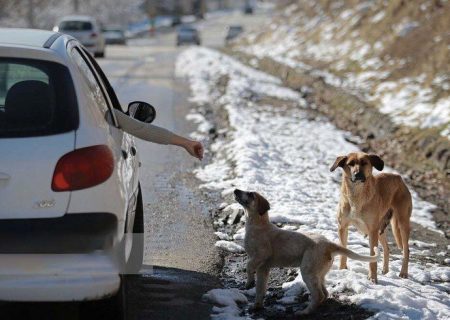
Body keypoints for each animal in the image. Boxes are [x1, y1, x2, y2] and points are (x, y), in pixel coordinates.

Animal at [330, 151, 412, 282]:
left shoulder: (372, 231)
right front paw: (342, 270)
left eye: (364, 163)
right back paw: (385, 270)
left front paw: (372, 278)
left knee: (406, 250)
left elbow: (372, 257)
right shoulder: (342, 227)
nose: (357, 174)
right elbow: (343, 250)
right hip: (379, 229)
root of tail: (399, 178)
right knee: (387, 248)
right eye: (350, 164)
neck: (356, 196)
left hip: (401, 223)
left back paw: (403, 272)